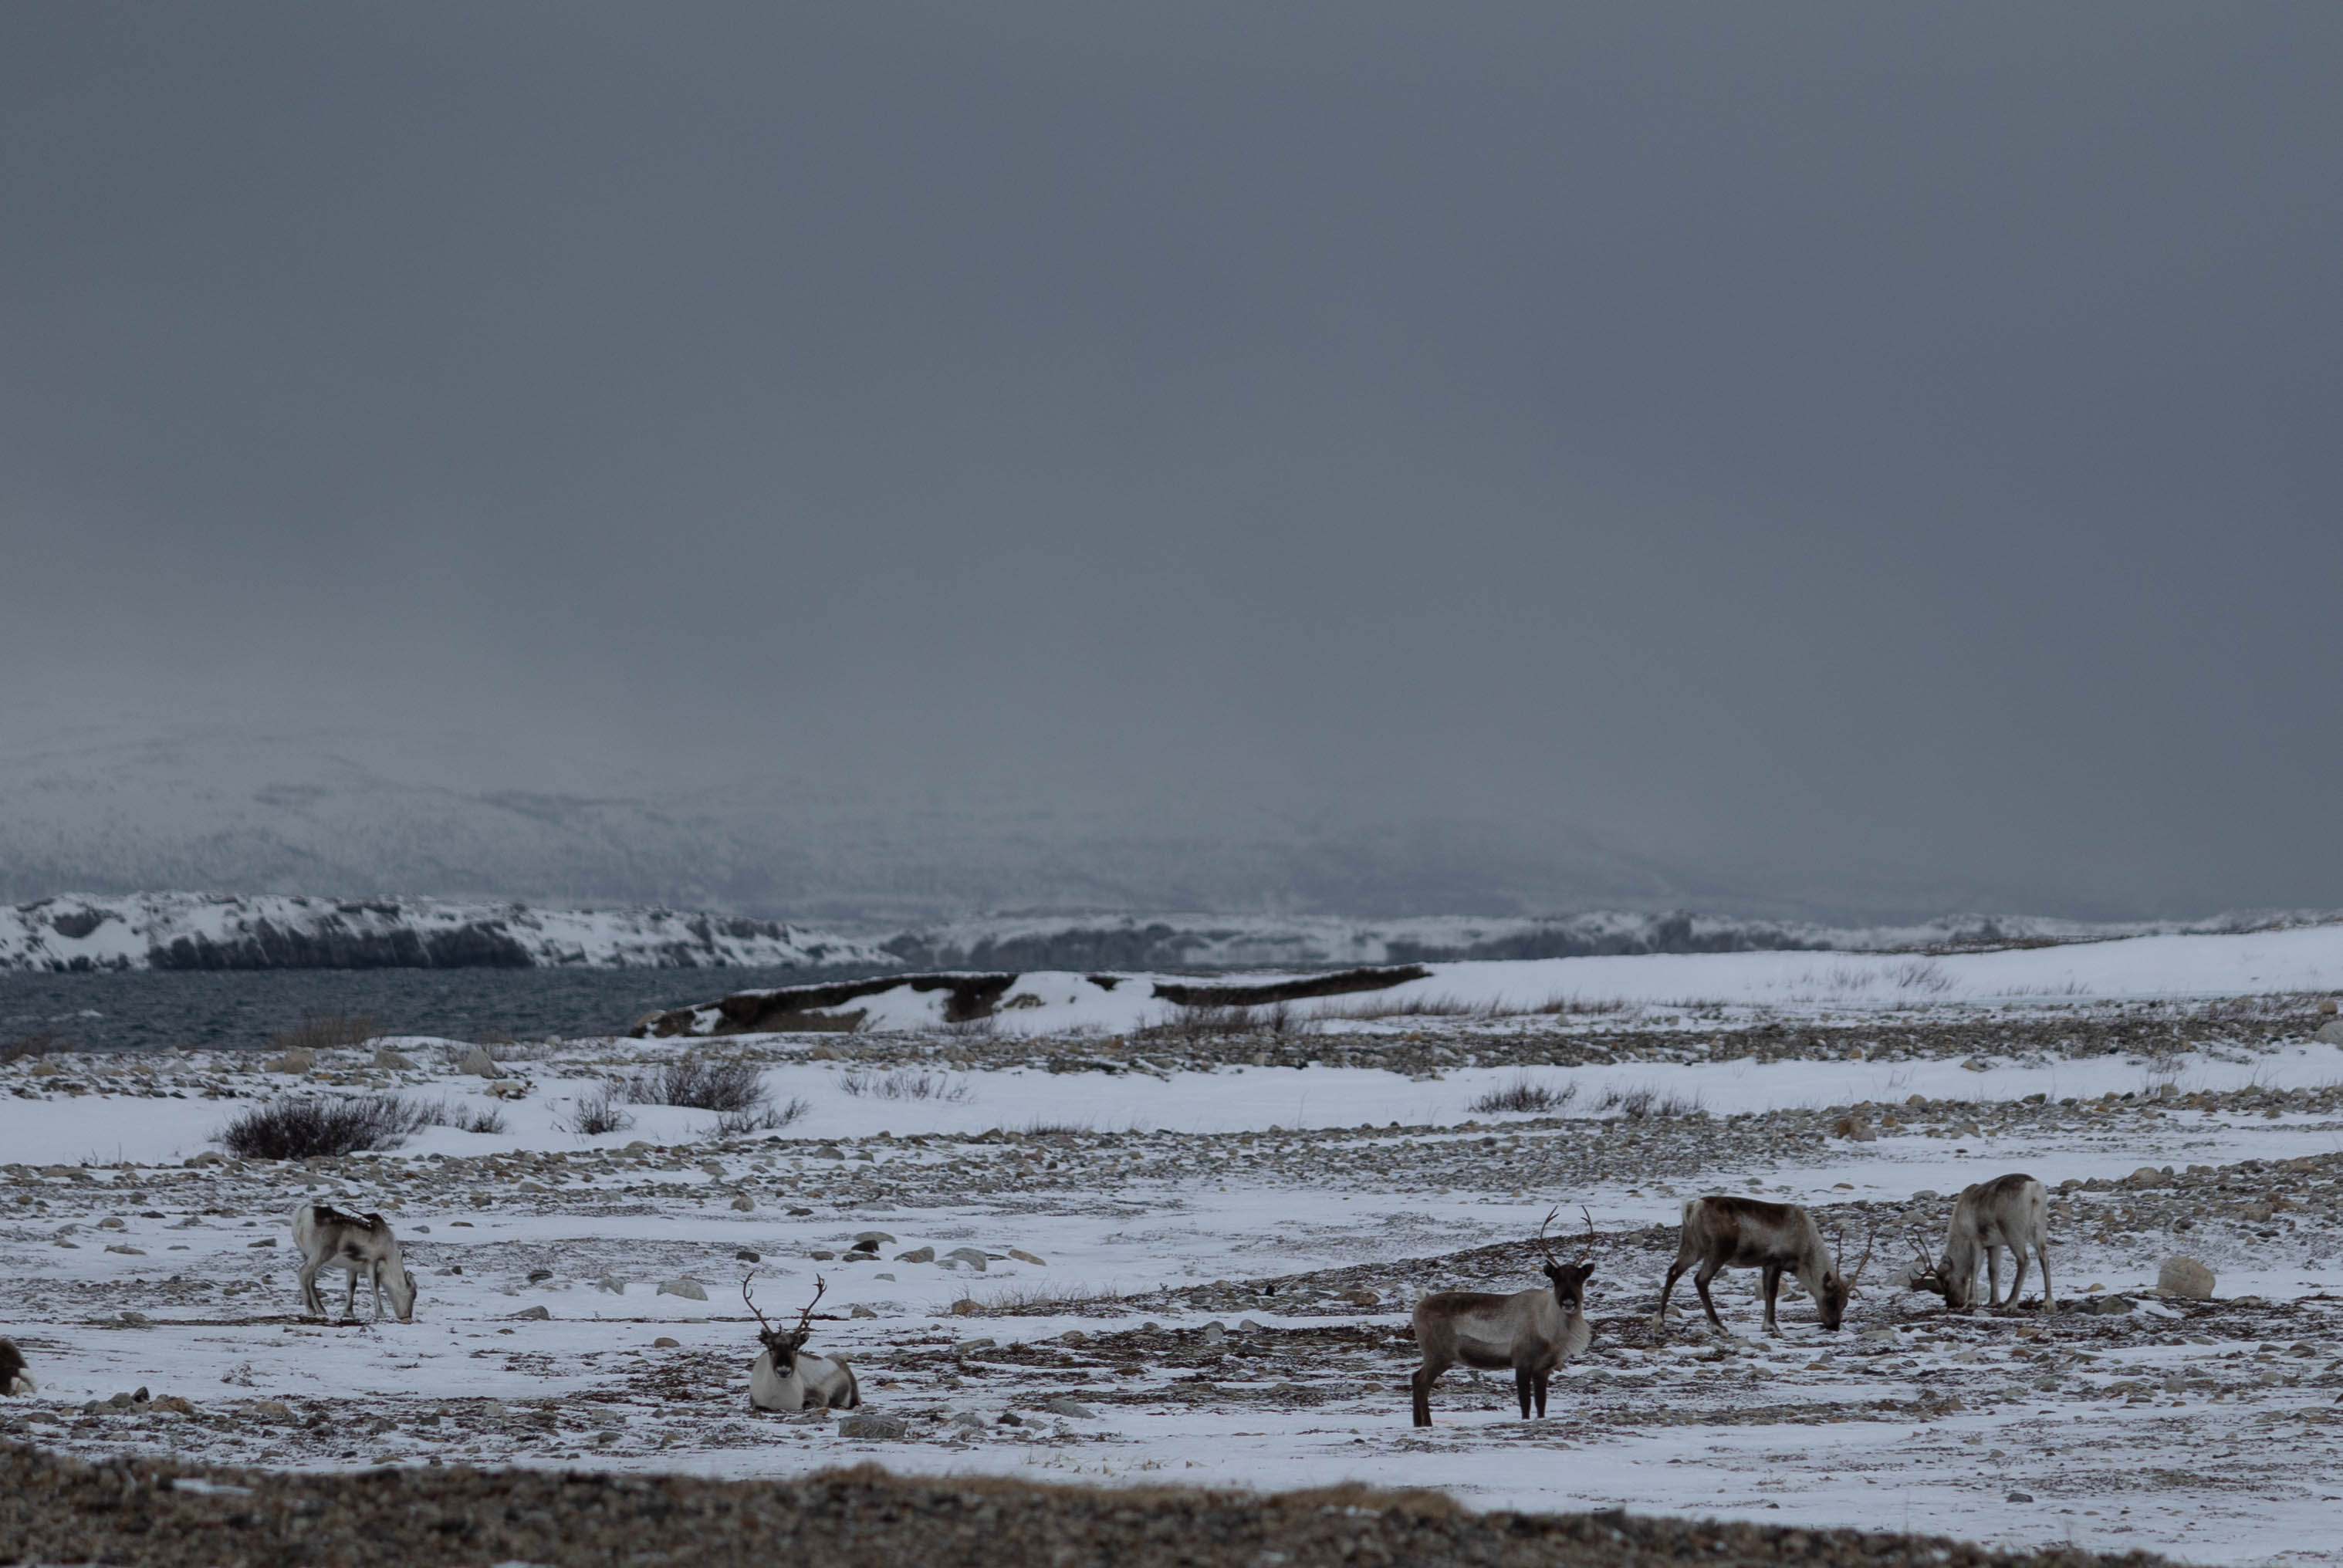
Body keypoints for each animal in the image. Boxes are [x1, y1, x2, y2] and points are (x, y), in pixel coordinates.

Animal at [292, 1201, 418, 1323]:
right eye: (413, 1294)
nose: (407, 1318)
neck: (388, 1257)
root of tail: (302, 1214)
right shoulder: (372, 1262)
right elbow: (375, 1285)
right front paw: (381, 1314)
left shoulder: (352, 1267)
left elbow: (352, 1286)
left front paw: (348, 1313)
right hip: (320, 1254)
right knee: (302, 1273)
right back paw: (311, 1310)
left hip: (305, 1254)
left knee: (311, 1280)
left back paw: (322, 1310)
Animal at [745, 1274, 861, 1413]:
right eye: (771, 1348)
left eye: (795, 1347)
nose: (783, 1371)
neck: (780, 1400)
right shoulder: (754, 1402)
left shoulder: (819, 1396)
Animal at [1410, 1205, 1596, 1427]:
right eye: (1556, 1279)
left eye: (1580, 1278)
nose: (1568, 1302)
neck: (1549, 1328)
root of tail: (1418, 1305)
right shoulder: (1522, 1362)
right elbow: (1525, 1404)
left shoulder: (1543, 1369)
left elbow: (1541, 1405)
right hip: (1437, 1355)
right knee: (1421, 1383)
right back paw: (1427, 1425)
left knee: (1414, 1377)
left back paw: (1418, 1424)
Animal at [1654, 1196, 1871, 1336]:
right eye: (1831, 1299)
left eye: (1846, 1302)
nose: (1834, 1326)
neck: (1805, 1250)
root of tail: (1693, 1207)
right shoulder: (1776, 1261)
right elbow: (1772, 1292)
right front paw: (1772, 1327)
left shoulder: (1766, 1265)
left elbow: (1767, 1292)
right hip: (1719, 1251)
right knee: (1701, 1279)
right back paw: (1718, 1327)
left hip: (1692, 1247)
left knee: (1673, 1271)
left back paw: (1659, 1321)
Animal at [1901, 1173, 2053, 1313]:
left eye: (1946, 1281)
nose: (1953, 1303)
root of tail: (2033, 1187)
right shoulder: (1994, 1244)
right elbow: (1993, 1271)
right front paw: (1993, 1301)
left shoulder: (1975, 1238)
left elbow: (1974, 1267)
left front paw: (1971, 1302)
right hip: (2039, 1228)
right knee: (2044, 1256)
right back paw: (2048, 1302)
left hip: (2012, 1230)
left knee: (2024, 1260)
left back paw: (2010, 1304)